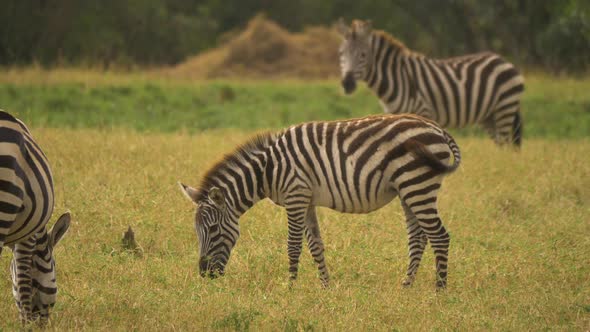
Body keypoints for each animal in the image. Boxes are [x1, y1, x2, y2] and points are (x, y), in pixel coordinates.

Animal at [179, 113, 462, 288]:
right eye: (196, 231)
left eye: (213, 229)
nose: (204, 274)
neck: (268, 170)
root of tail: (437, 128)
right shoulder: (307, 200)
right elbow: (315, 245)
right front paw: (325, 286)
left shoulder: (295, 196)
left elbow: (293, 246)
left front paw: (290, 288)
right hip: (408, 189)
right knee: (419, 237)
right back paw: (407, 286)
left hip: (417, 184)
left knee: (439, 236)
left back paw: (439, 291)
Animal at [338, 18, 528, 146]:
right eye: (341, 54)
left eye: (363, 55)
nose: (347, 83)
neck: (398, 77)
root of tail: (502, 59)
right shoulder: (394, 116)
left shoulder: (423, 110)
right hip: (489, 115)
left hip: (505, 107)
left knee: (505, 144)